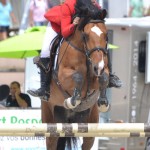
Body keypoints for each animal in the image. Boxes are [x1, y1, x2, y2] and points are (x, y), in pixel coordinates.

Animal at [41, 5, 109, 150]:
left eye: (106, 35)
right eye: (86, 36)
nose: (98, 67)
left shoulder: (99, 74)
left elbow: (104, 78)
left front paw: (103, 102)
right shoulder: (62, 75)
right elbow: (78, 77)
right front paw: (72, 101)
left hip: (90, 124)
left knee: (87, 142)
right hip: (50, 118)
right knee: (52, 141)